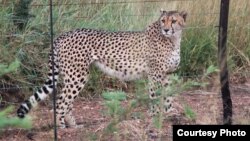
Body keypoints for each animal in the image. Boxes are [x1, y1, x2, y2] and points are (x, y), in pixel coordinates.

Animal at [16, 9, 187, 128]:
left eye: (173, 21)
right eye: (163, 21)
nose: (166, 29)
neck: (173, 39)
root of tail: (63, 34)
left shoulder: (167, 74)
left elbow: (168, 95)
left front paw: (168, 113)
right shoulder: (155, 74)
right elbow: (155, 95)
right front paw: (155, 116)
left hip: (71, 76)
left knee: (67, 101)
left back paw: (74, 126)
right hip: (78, 75)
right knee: (61, 101)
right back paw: (61, 127)